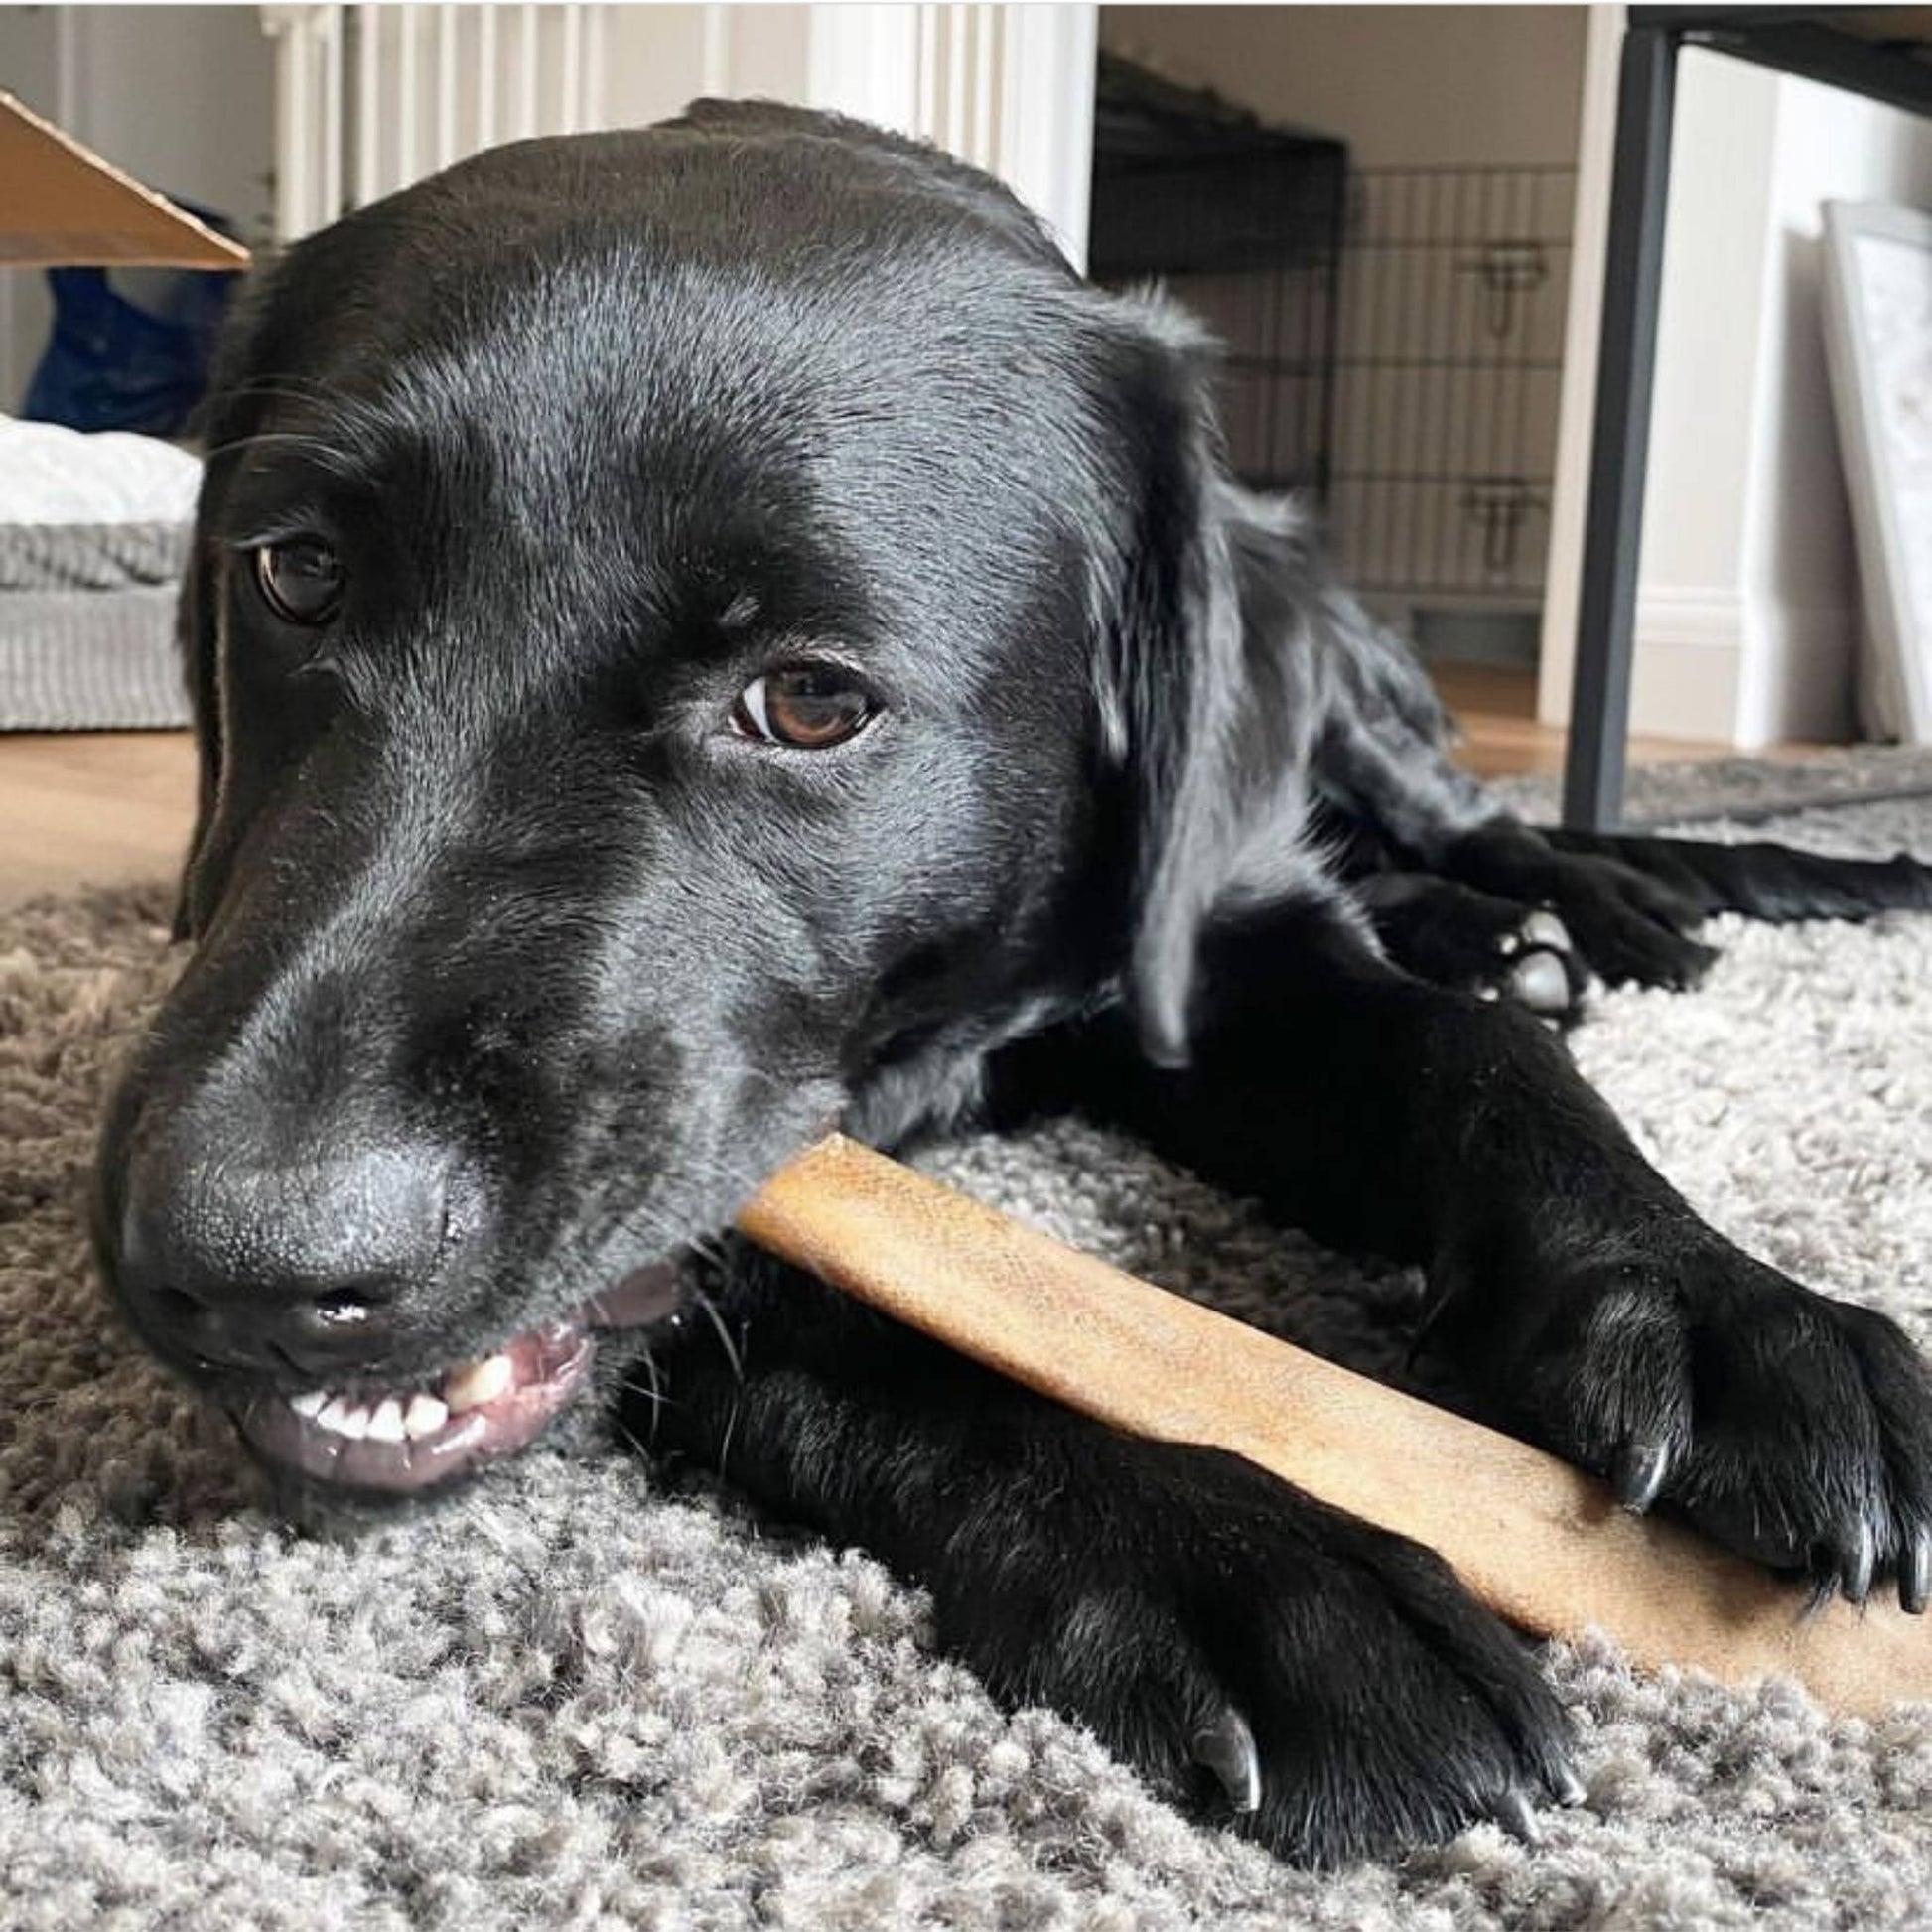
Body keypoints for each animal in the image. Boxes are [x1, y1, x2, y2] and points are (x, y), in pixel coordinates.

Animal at [93, 109, 1932, 1869]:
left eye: (812, 700)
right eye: (296, 572)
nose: (245, 1264)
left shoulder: (1216, 948)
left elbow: (1467, 1056)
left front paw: (1716, 1304)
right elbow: (871, 1313)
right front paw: (1257, 1565)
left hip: (1357, 713)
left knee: (1474, 824)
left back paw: (1627, 909)